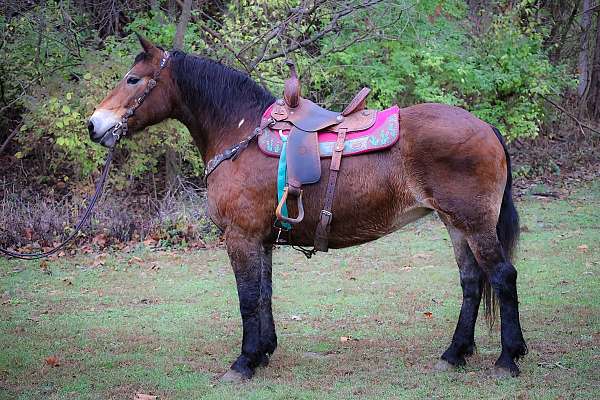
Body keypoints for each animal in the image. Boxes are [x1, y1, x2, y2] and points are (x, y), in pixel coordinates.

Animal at [88, 36, 524, 382]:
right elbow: (263, 294)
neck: (240, 134)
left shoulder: (241, 237)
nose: (94, 125)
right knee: (471, 282)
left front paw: (243, 363)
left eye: (133, 79)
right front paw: (263, 352)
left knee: (502, 276)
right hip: (456, 224)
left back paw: (508, 358)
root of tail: (485, 127)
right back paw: (454, 354)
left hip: (474, 223)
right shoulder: (260, 239)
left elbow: (247, 297)